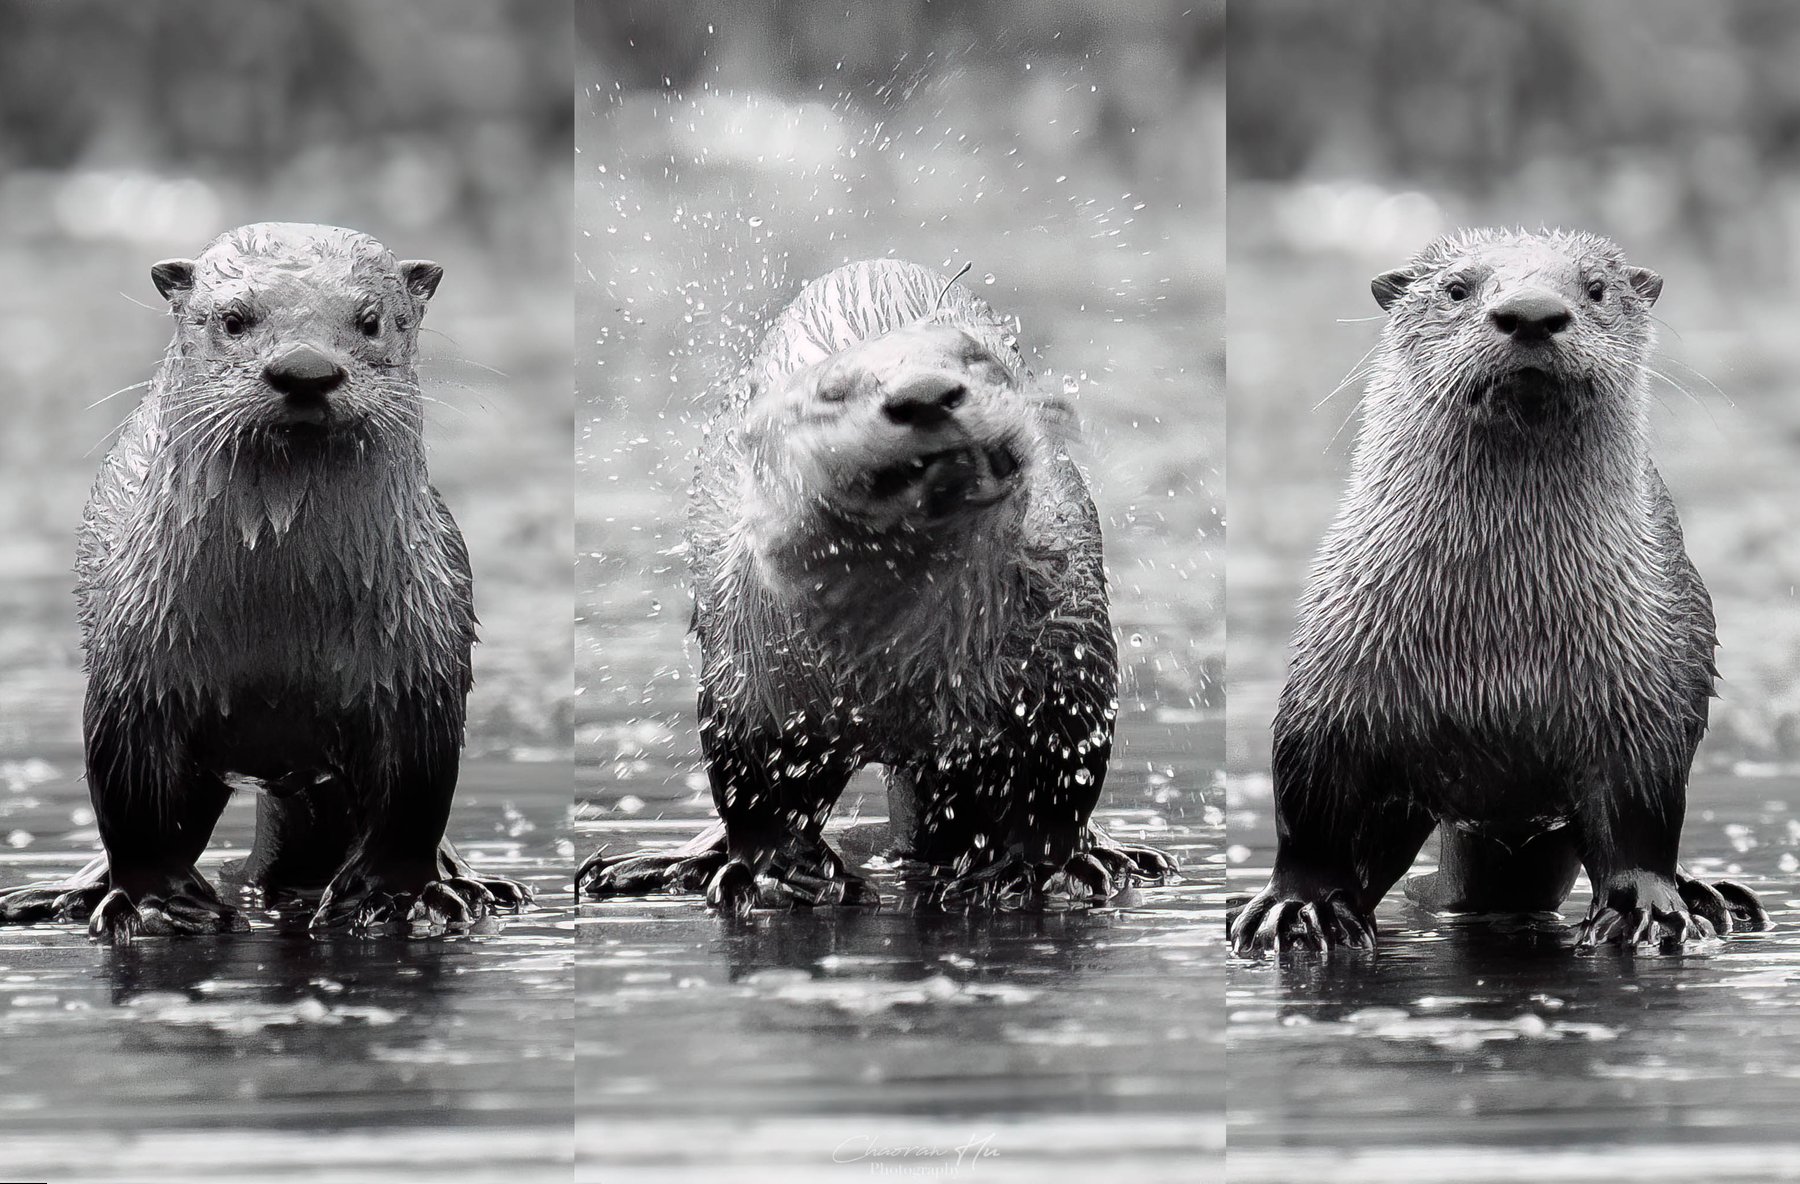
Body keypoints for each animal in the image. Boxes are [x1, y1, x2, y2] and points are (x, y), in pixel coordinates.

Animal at [0, 222, 529, 941]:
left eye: (369, 320)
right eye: (233, 319)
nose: (304, 367)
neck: (280, 617)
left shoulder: (420, 664)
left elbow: (415, 800)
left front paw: (390, 898)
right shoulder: (133, 669)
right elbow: (131, 806)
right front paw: (161, 903)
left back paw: (472, 884)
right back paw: (67, 891)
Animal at [579, 259, 1175, 913]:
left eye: (974, 358)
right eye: (833, 393)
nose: (926, 392)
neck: (900, 665)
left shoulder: (1067, 660)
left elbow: (1056, 782)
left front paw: (1023, 870)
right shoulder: (754, 678)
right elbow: (757, 792)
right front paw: (782, 874)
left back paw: (1114, 855)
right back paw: (660, 863)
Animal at [1228, 228, 1766, 954]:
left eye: (1595, 288)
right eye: (1457, 287)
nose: (1533, 312)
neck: (1495, 641)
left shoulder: (1642, 690)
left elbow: (1641, 817)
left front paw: (1648, 908)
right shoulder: (1337, 674)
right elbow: (1312, 808)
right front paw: (1294, 906)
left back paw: (1710, 895)